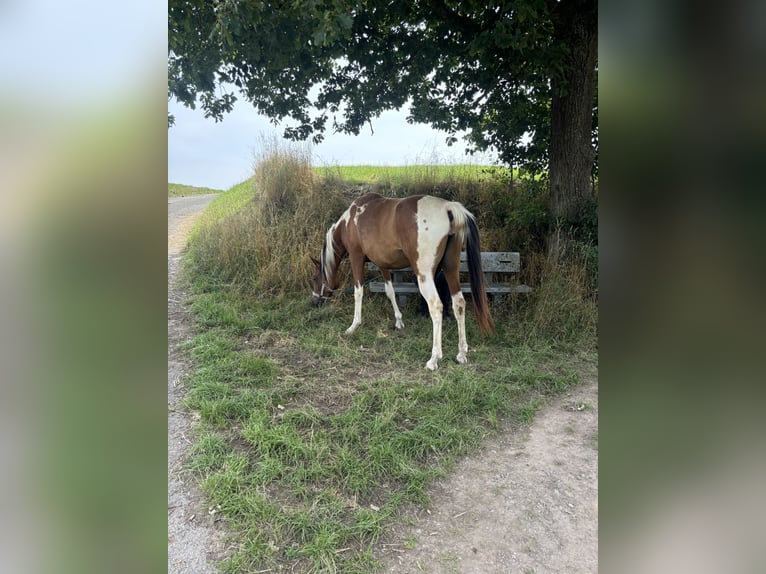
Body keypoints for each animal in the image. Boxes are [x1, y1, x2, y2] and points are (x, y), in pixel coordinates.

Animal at [311, 192, 494, 371]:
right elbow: (390, 291)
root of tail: (448, 207)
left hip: (424, 275)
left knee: (436, 306)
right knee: (459, 303)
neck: (349, 221)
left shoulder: (356, 257)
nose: (314, 301)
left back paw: (434, 359)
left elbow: (358, 292)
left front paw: (354, 325)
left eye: (315, 278)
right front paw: (399, 320)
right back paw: (461, 353)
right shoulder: (382, 264)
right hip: (450, 268)